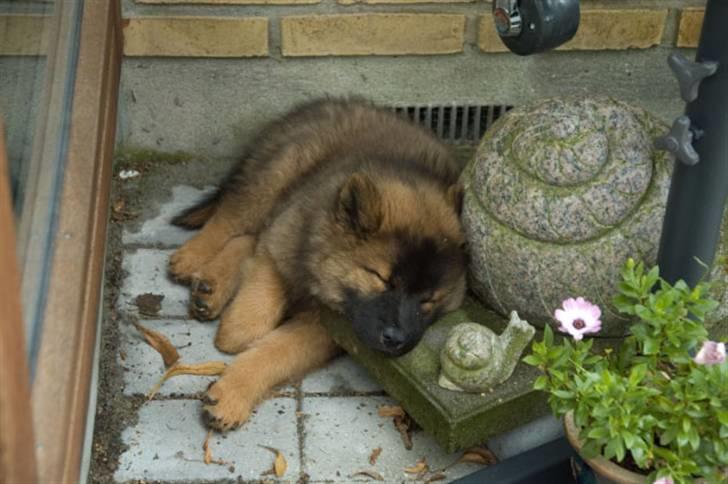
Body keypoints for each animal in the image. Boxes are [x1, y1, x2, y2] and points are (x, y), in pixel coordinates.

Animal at [169, 96, 466, 430]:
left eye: (429, 300)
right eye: (380, 278)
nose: (396, 341)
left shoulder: (331, 328)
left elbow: (279, 351)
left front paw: (232, 393)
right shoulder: (284, 240)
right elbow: (251, 320)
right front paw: (235, 330)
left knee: (248, 236)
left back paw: (211, 286)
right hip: (276, 175)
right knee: (230, 220)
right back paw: (191, 258)